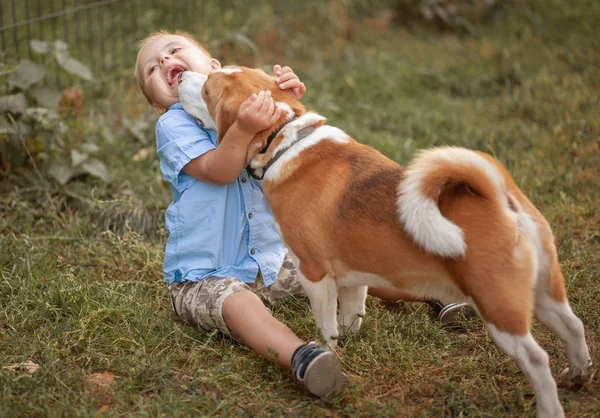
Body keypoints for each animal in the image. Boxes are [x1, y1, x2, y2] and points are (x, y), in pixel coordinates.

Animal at [177, 67, 592, 416]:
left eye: (208, 87)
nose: (180, 75)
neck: (286, 140)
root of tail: (497, 197)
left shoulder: (315, 274)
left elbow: (326, 326)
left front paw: (327, 352)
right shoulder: (352, 278)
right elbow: (351, 315)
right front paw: (349, 340)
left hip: (499, 308)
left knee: (537, 359)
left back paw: (550, 407)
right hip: (544, 293)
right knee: (574, 327)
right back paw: (579, 374)